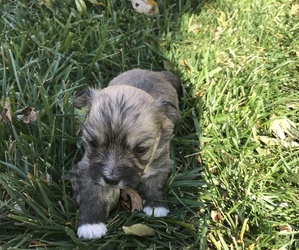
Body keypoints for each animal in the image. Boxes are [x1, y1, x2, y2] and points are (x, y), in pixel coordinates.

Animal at [68, 69, 180, 240]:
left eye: (140, 149)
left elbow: (154, 183)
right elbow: (92, 194)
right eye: (93, 143)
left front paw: (155, 205)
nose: (110, 180)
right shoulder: (89, 167)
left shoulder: (161, 161)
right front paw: (91, 224)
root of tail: (157, 73)